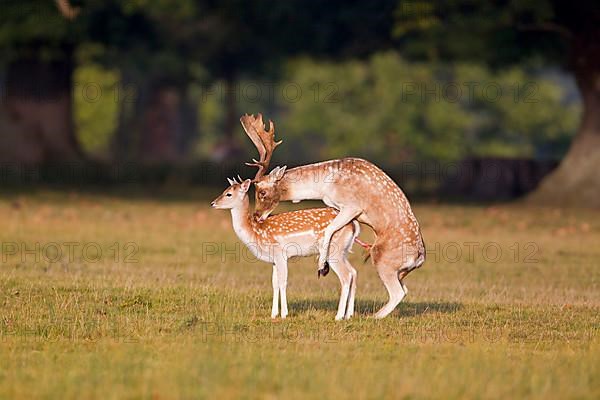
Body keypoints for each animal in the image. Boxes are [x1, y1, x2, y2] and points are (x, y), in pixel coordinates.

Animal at [211, 177, 358, 320]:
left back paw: (339, 316)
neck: (256, 233)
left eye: (229, 194)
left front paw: (284, 314)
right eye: (225, 190)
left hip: (334, 250)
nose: (212, 203)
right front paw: (273, 314)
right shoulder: (274, 260)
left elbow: (283, 282)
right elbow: (274, 283)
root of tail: (354, 225)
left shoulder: (280, 253)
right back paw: (349, 314)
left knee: (346, 276)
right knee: (354, 272)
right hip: (343, 251)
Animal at [239, 113, 426, 318]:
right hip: (398, 269)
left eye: (262, 192)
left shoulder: (352, 206)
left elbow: (329, 230)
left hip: (383, 258)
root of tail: (419, 258)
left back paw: (372, 316)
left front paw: (322, 266)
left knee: (397, 291)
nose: (256, 216)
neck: (324, 187)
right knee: (402, 288)